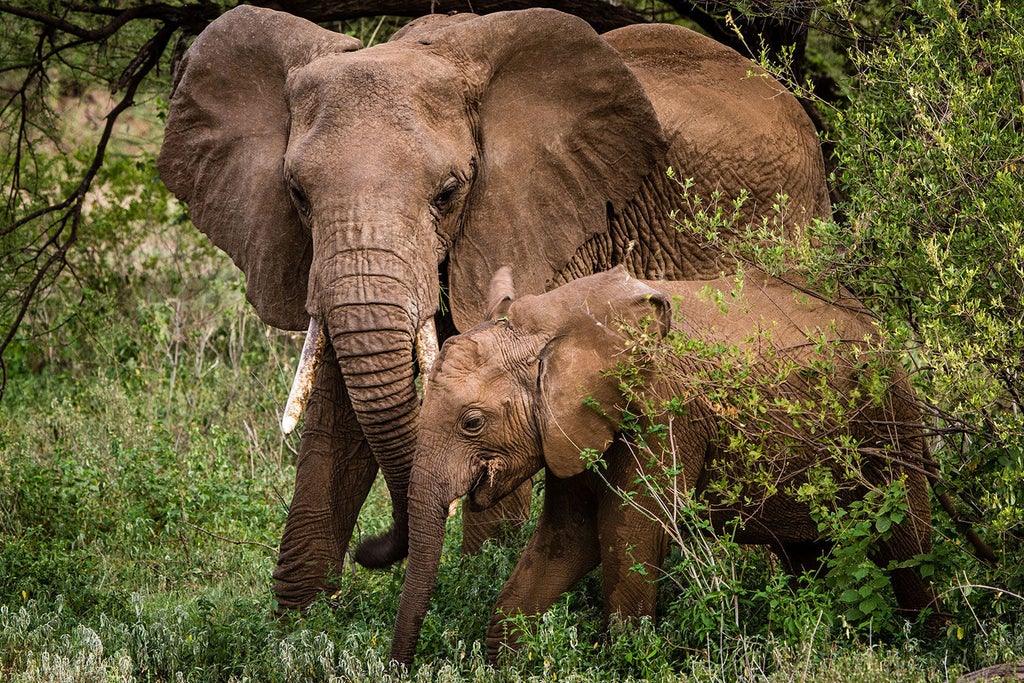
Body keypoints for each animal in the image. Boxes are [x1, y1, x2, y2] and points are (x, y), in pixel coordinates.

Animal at [159, 5, 831, 610]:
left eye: (449, 191)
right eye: (297, 193)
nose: (375, 551)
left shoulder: (560, 228)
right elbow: (336, 417)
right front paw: (301, 630)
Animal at [391, 264, 942, 663]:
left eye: (472, 423)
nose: (405, 666)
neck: (548, 326)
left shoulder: (661, 410)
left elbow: (630, 530)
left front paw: (629, 660)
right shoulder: (570, 427)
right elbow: (567, 537)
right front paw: (505, 662)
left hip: (890, 418)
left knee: (908, 543)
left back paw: (933, 646)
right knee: (806, 555)